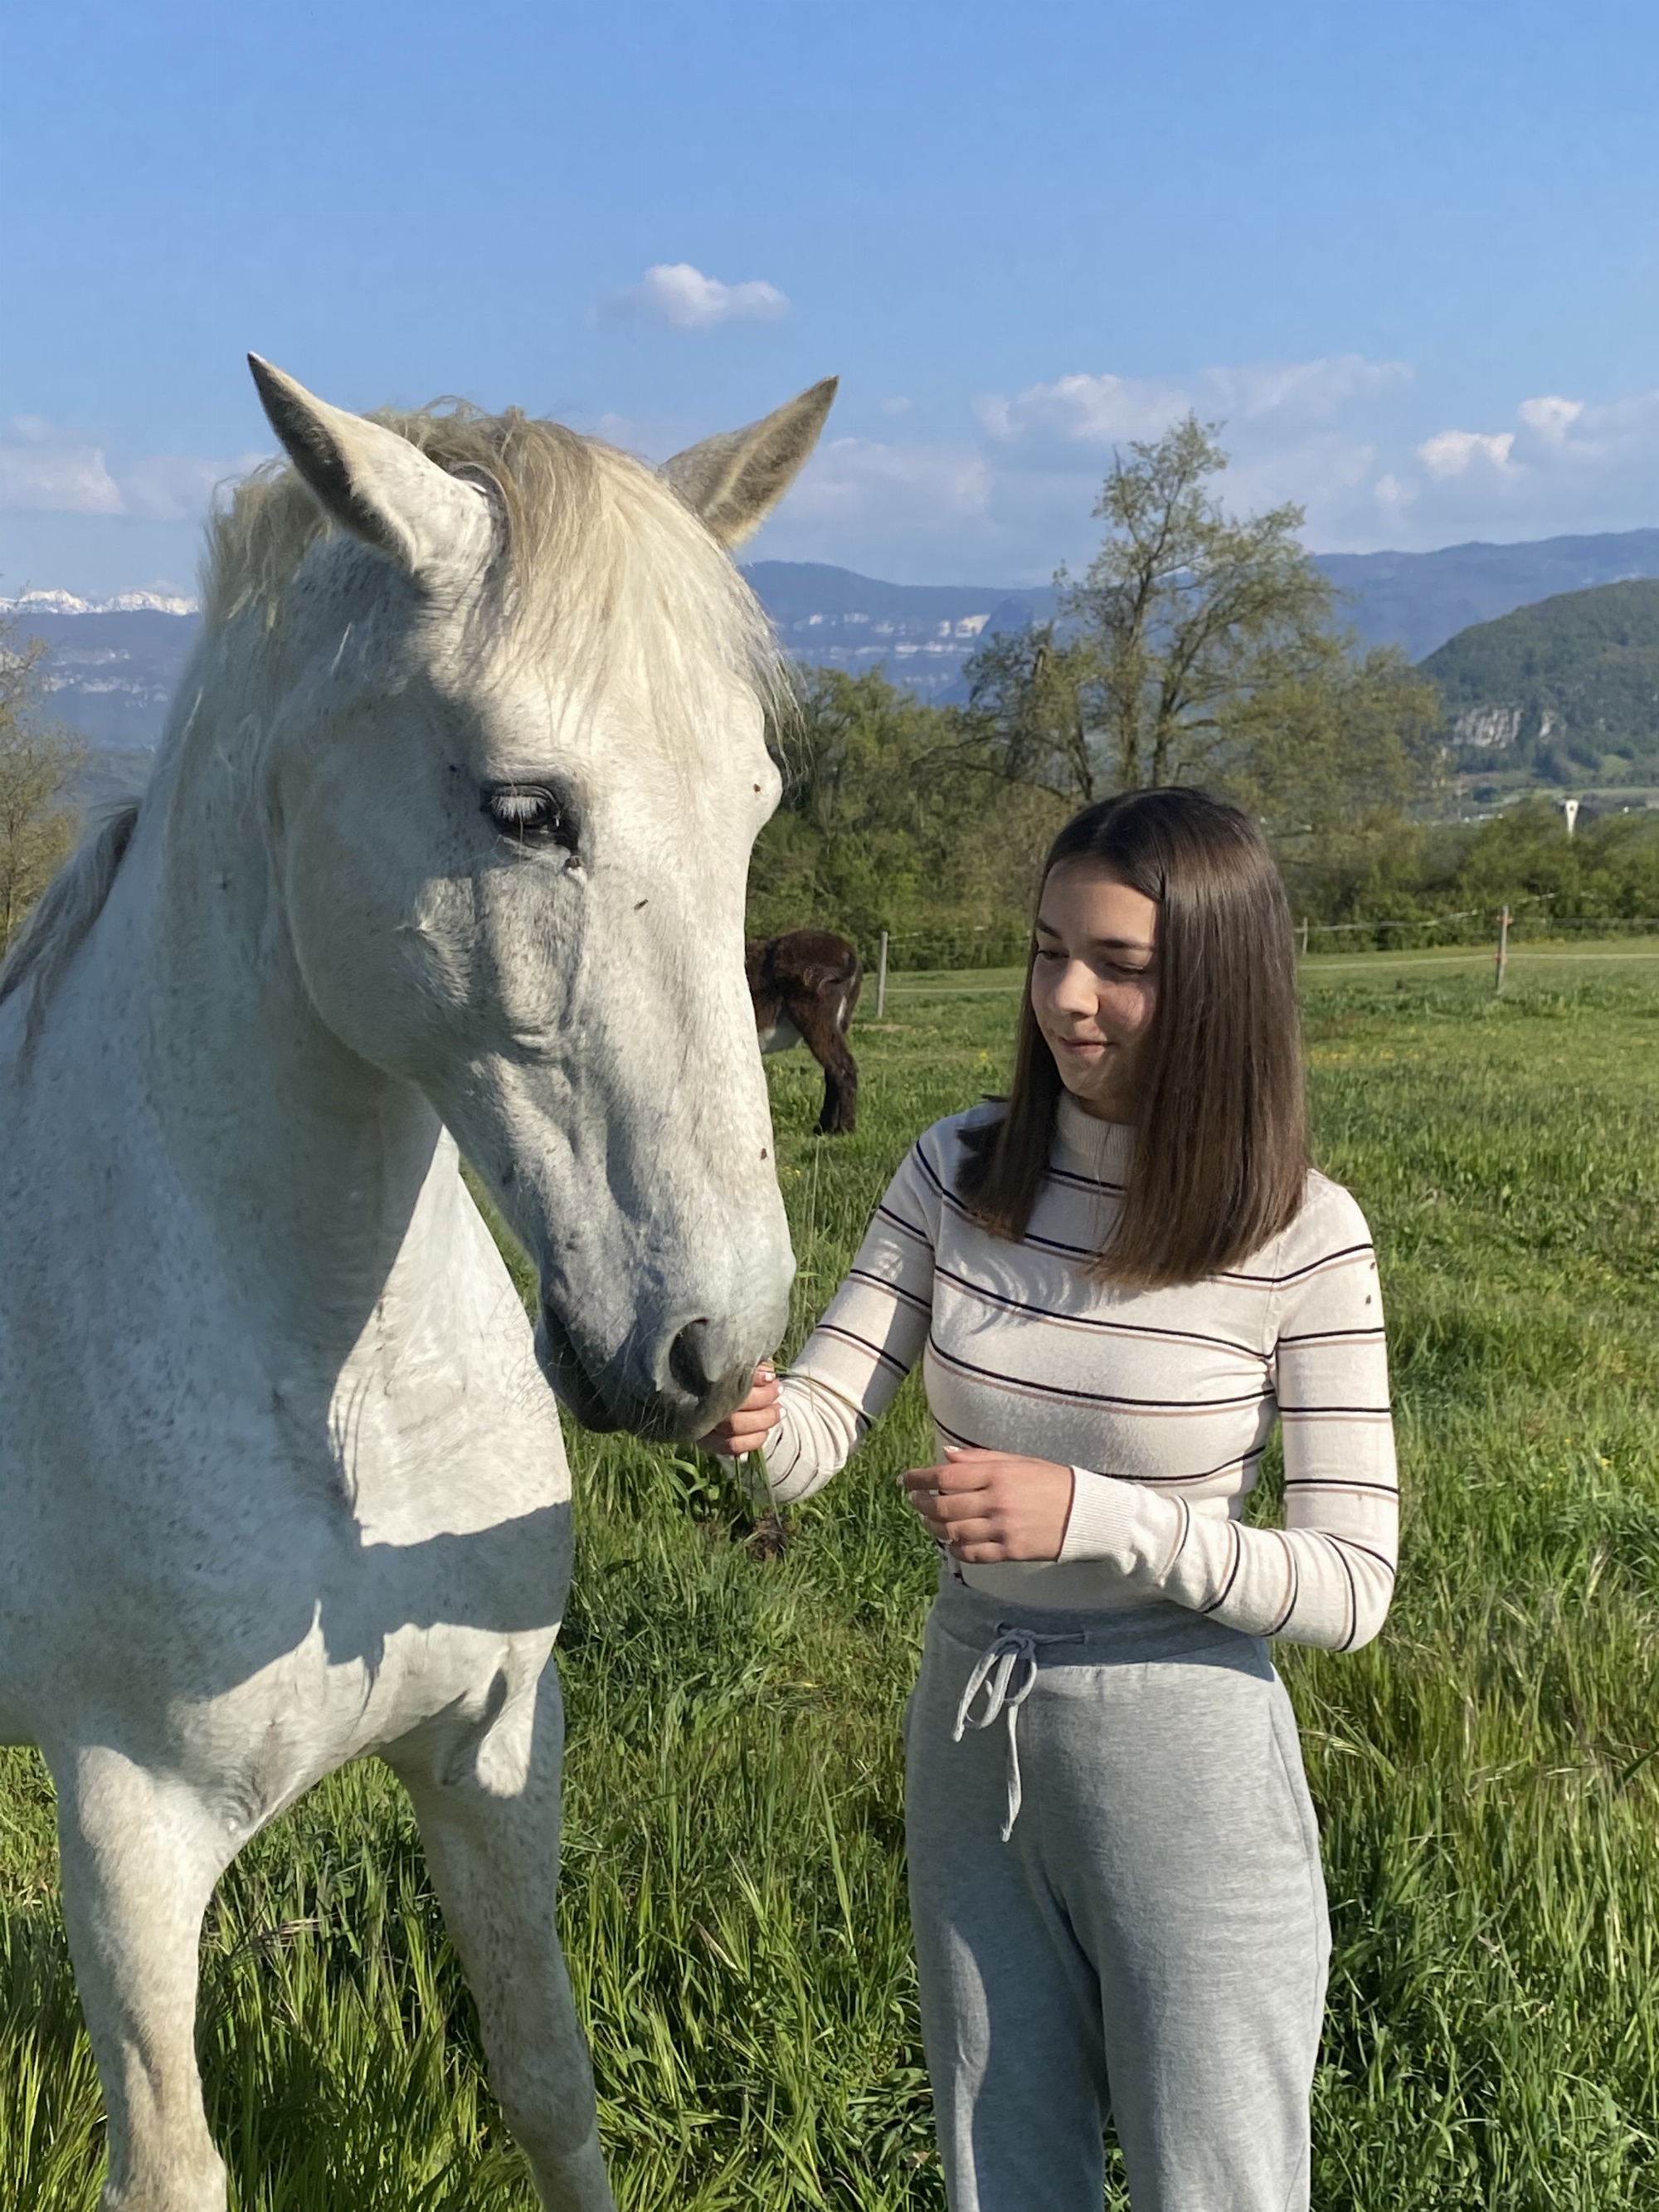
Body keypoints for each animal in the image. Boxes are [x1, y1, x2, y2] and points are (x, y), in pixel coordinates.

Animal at [0, 355, 834, 2212]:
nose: (713, 1347)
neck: (337, 1398)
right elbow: (173, 2165)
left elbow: (546, 2079)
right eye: (525, 811)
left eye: (752, 801)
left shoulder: (495, 1749)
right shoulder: (128, 1838)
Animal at [746, 928, 862, 1134]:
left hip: (815, 1016)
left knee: (843, 1067)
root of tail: (848, 952)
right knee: (832, 1070)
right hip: (840, 1020)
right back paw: (824, 1128)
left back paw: (844, 1129)